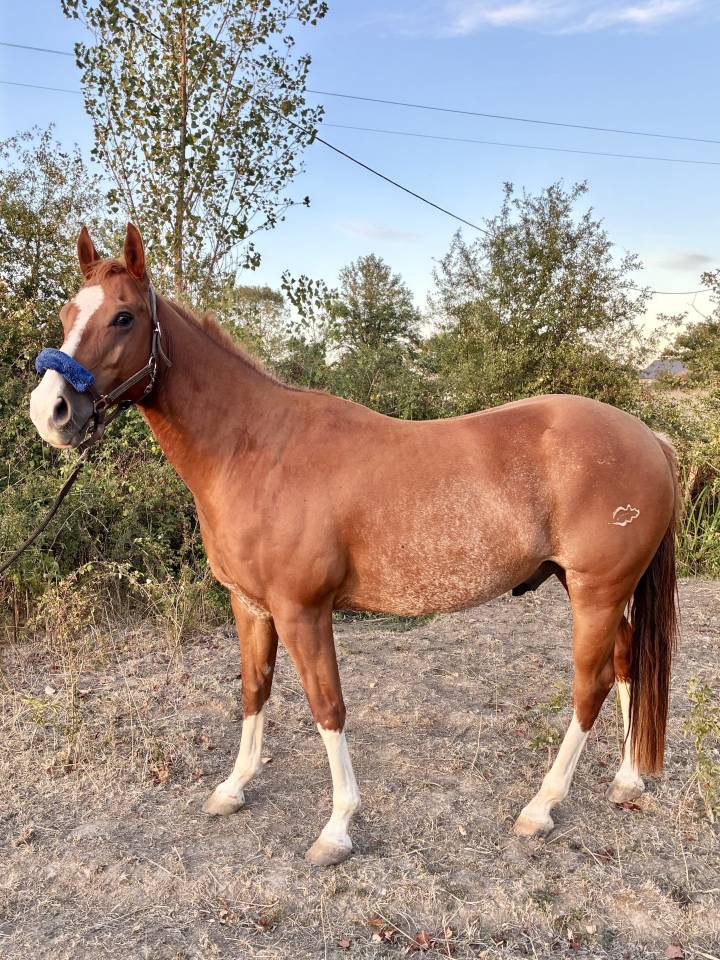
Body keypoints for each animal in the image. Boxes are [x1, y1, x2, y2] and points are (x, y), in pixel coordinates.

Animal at [29, 224, 678, 866]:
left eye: (123, 317)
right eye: (67, 312)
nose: (50, 411)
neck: (256, 449)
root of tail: (648, 436)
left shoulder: (303, 611)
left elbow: (328, 706)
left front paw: (337, 827)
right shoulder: (251, 606)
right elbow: (254, 691)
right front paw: (233, 788)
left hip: (596, 591)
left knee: (591, 685)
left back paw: (541, 807)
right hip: (593, 589)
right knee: (626, 663)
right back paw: (626, 780)